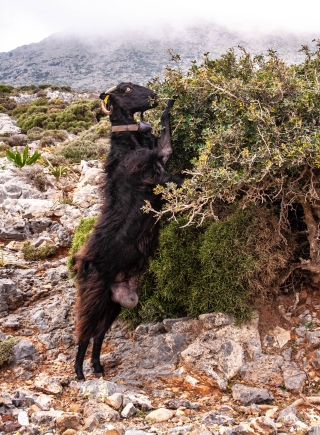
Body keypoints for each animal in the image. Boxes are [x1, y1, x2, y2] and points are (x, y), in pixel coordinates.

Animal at [73, 82, 181, 382]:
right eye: (127, 89)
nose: (154, 95)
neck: (129, 142)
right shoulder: (157, 170)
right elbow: (174, 162)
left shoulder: (162, 163)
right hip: (94, 296)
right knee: (84, 332)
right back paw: (79, 373)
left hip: (114, 303)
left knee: (98, 334)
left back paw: (97, 367)